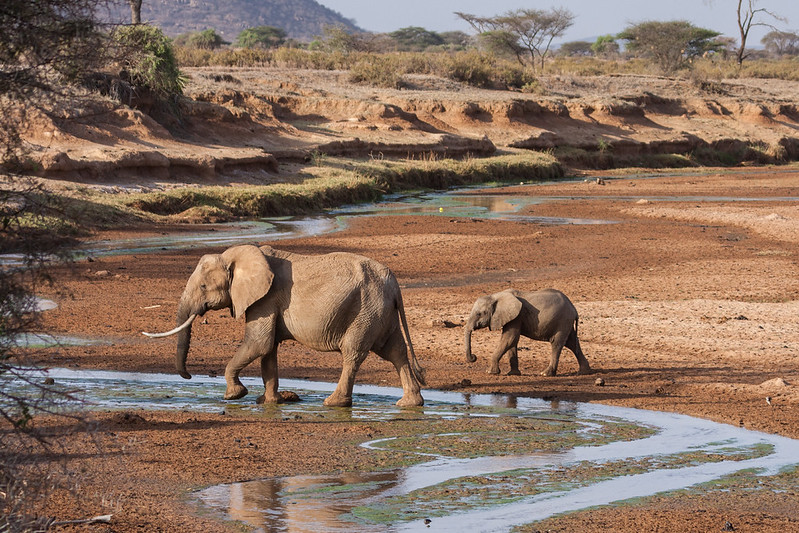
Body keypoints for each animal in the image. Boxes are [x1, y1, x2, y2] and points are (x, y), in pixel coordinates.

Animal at [143, 244, 425, 407]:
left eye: (203, 286)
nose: (189, 376)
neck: (236, 256)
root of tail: (394, 283)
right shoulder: (267, 302)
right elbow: (268, 350)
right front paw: (268, 401)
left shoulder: (265, 299)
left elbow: (259, 343)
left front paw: (234, 395)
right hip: (381, 311)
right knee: (395, 351)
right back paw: (409, 404)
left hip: (366, 310)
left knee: (353, 353)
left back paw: (333, 403)